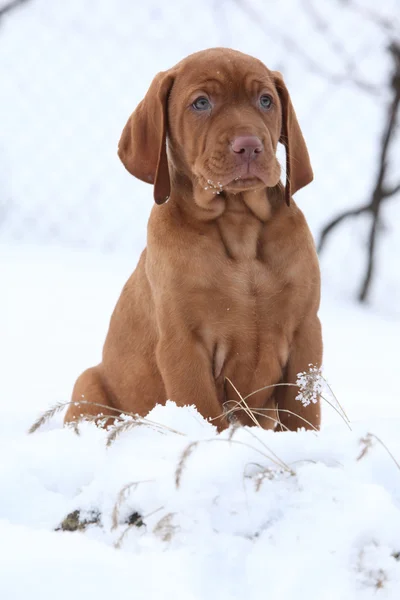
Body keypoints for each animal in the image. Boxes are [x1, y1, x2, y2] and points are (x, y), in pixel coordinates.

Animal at [65, 48, 322, 432]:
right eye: (201, 103)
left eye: (265, 100)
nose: (249, 146)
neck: (238, 221)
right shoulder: (184, 345)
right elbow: (204, 412)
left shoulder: (306, 333)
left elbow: (304, 414)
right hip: (88, 387)